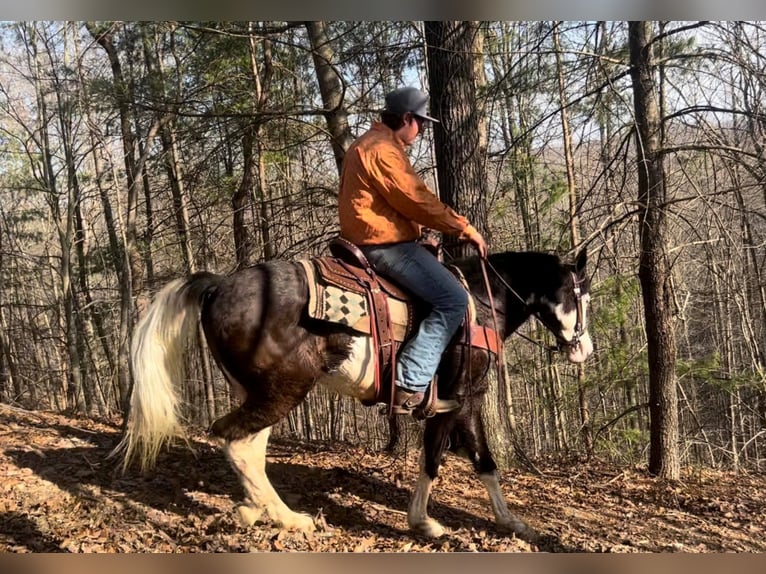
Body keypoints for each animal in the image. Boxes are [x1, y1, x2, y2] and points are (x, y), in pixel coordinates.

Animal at [112, 246, 592, 540]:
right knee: (236, 441)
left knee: (248, 446)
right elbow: (437, 460)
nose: (584, 348)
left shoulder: (463, 402)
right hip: (286, 388)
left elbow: (484, 463)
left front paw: (512, 522)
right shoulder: (460, 397)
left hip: (263, 391)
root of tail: (218, 285)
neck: (480, 302)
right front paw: (424, 523)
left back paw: (258, 508)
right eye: (578, 294)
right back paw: (288, 518)